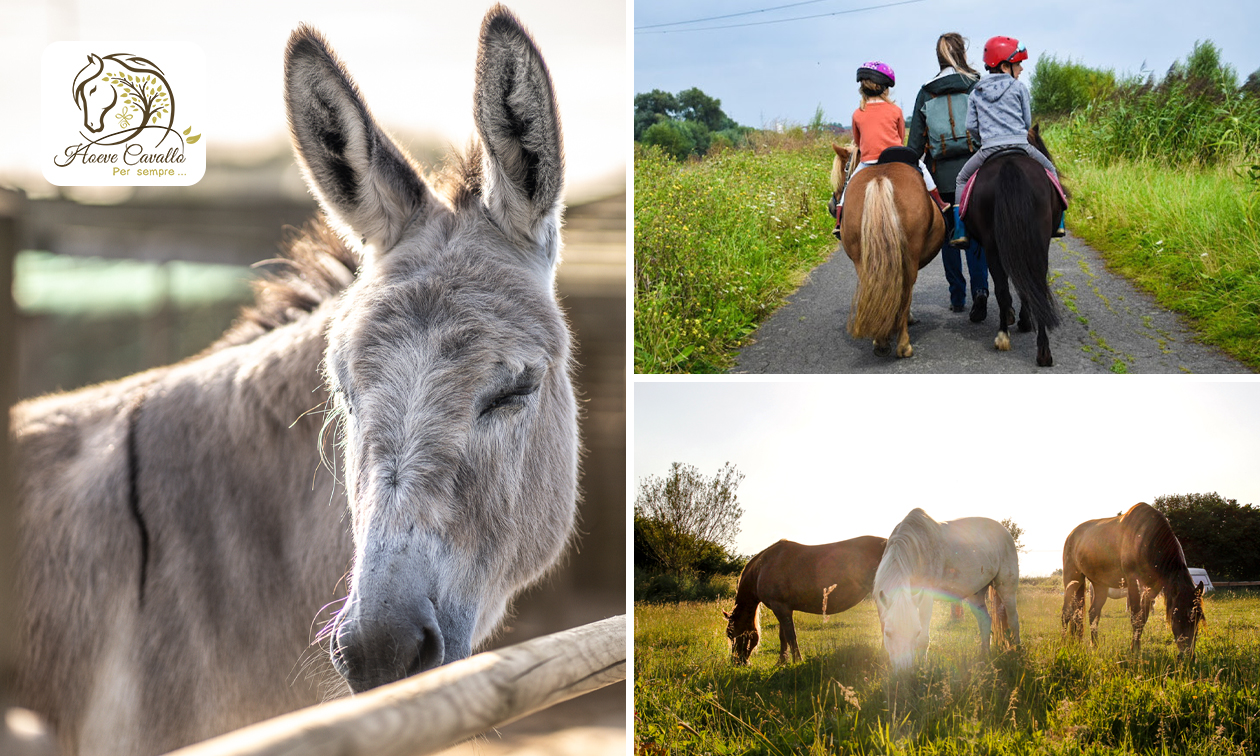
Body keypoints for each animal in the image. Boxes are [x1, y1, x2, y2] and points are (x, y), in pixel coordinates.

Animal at [722, 536, 887, 665]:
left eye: (731, 634)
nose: (737, 662)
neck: (762, 568)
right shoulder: (783, 608)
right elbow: (783, 636)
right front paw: (781, 662)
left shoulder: (780, 608)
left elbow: (790, 636)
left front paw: (796, 661)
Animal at [830, 143, 945, 358]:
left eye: (843, 173)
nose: (832, 206)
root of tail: (880, 179)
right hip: (908, 259)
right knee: (905, 291)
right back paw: (902, 343)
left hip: (863, 260)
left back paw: (882, 340)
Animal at [873, 508, 1020, 673]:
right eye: (888, 633)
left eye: (916, 632)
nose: (904, 673)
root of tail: (1005, 531)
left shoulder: (926, 598)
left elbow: (924, 639)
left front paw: (923, 668)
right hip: (975, 594)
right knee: (985, 621)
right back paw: (984, 656)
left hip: (1006, 587)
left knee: (1013, 620)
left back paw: (1018, 652)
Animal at [961, 124, 1066, 367]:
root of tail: (1010, 164)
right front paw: (1021, 320)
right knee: (1028, 285)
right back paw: (1034, 347)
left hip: (997, 246)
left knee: (1011, 287)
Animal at [1062, 502, 1205, 657]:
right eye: (1177, 615)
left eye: (1198, 617)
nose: (1188, 655)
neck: (1146, 540)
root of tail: (1071, 535)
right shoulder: (1133, 582)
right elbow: (1135, 617)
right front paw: (1135, 652)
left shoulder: (1151, 589)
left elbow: (1142, 618)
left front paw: (1136, 647)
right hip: (1072, 578)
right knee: (1067, 613)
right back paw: (1064, 644)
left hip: (1099, 585)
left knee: (1090, 613)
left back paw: (1091, 645)